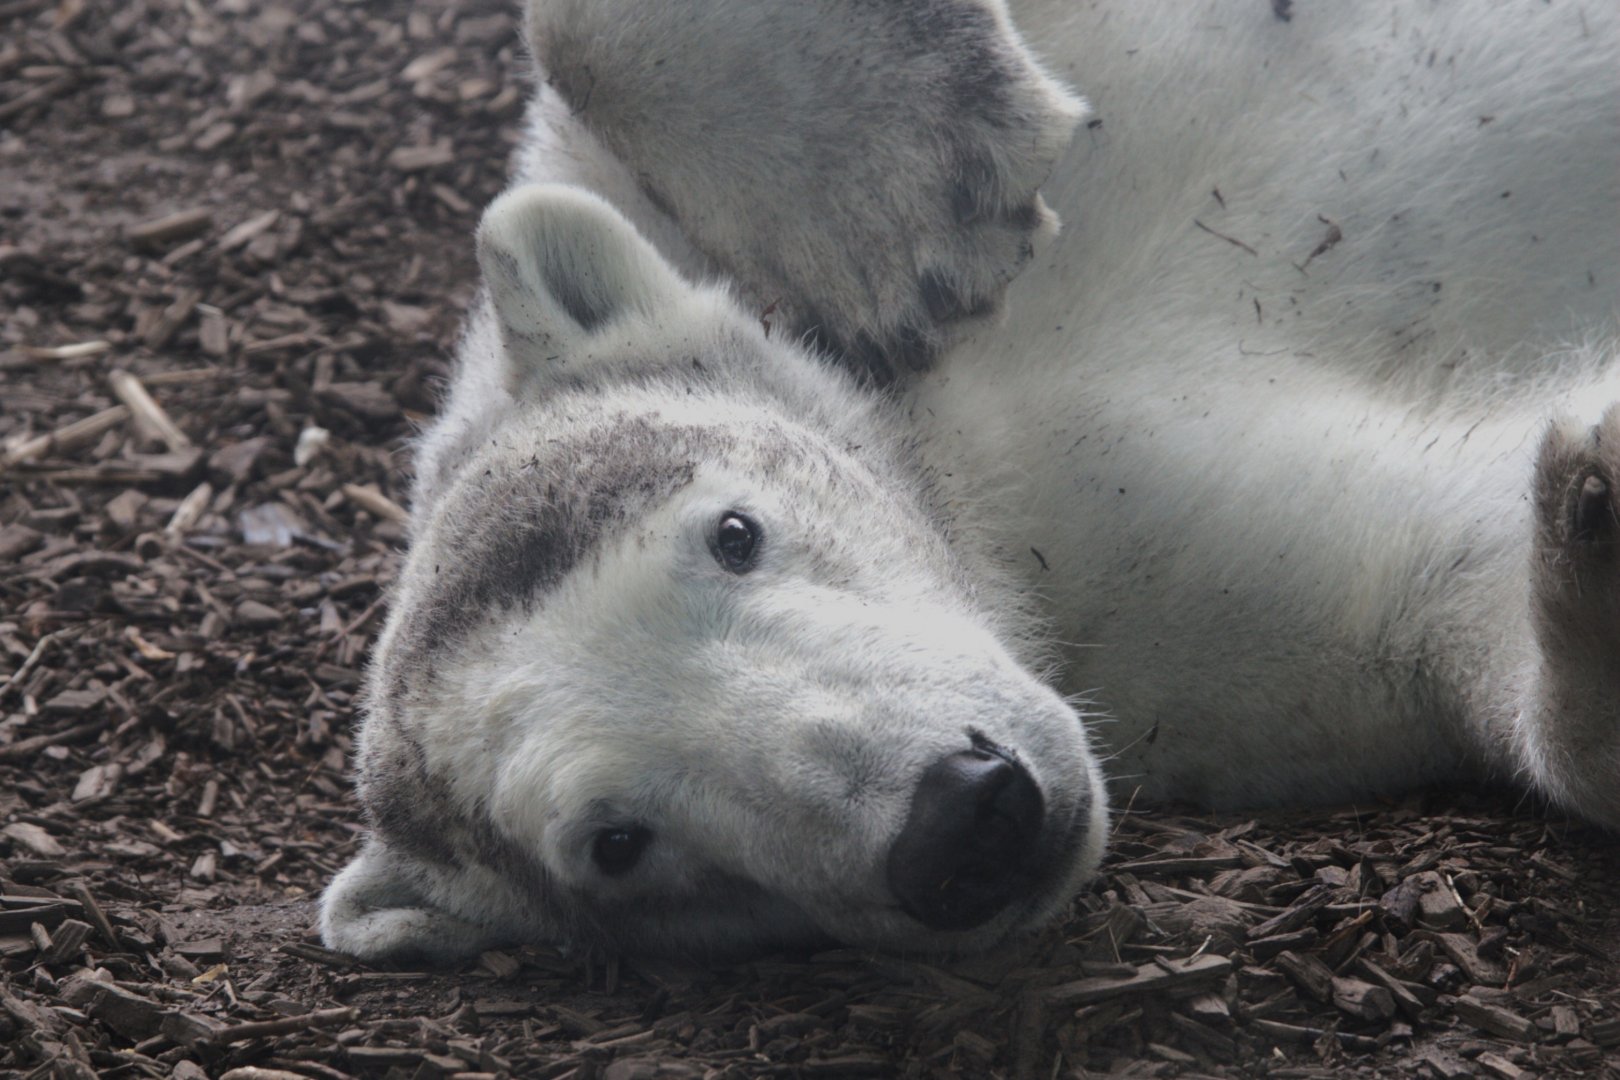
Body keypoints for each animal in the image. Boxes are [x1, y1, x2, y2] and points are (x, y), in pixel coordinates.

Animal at [323, 0, 1620, 963]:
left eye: (733, 533)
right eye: (616, 844)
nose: (957, 823)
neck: (970, 477)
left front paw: (909, 204)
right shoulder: (1185, 628)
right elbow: (1452, 594)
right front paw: (1596, 501)